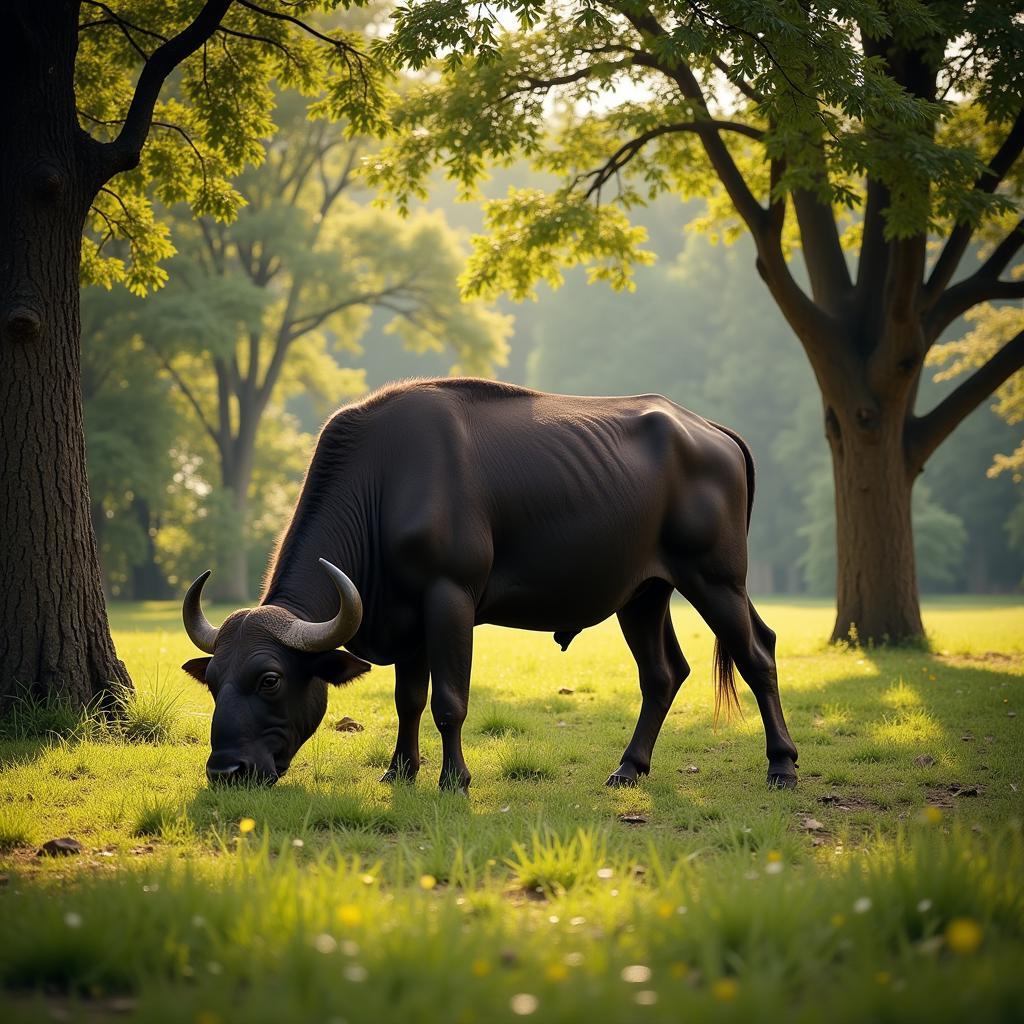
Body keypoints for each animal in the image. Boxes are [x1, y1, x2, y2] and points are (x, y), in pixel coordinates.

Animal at [180, 380, 794, 786]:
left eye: (270, 680)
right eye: (212, 682)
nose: (225, 769)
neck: (385, 484)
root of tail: (711, 432)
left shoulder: (449, 598)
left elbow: (449, 699)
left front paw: (454, 779)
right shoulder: (407, 620)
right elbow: (408, 699)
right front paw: (400, 771)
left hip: (716, 579)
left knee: (757, 653)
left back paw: (782, 764)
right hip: (643, 594)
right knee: (664, 674)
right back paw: (629, 768)